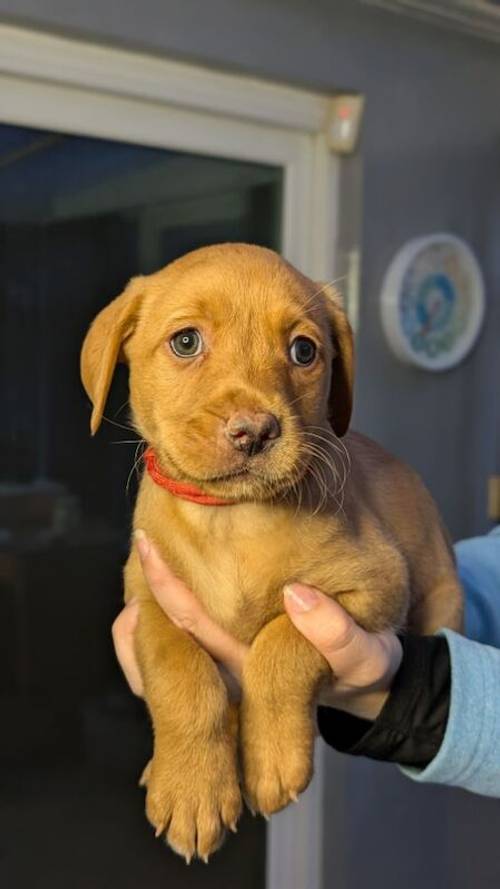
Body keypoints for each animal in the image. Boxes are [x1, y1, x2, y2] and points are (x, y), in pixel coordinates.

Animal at [81, 241, 460, 860]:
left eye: (304, 351)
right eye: (186, 342)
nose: (254, 431)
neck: (232, 521)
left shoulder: (373, 585)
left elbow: (281, 646)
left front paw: (270, 761)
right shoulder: (148, 604)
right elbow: (183, 675)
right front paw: (192, 788)